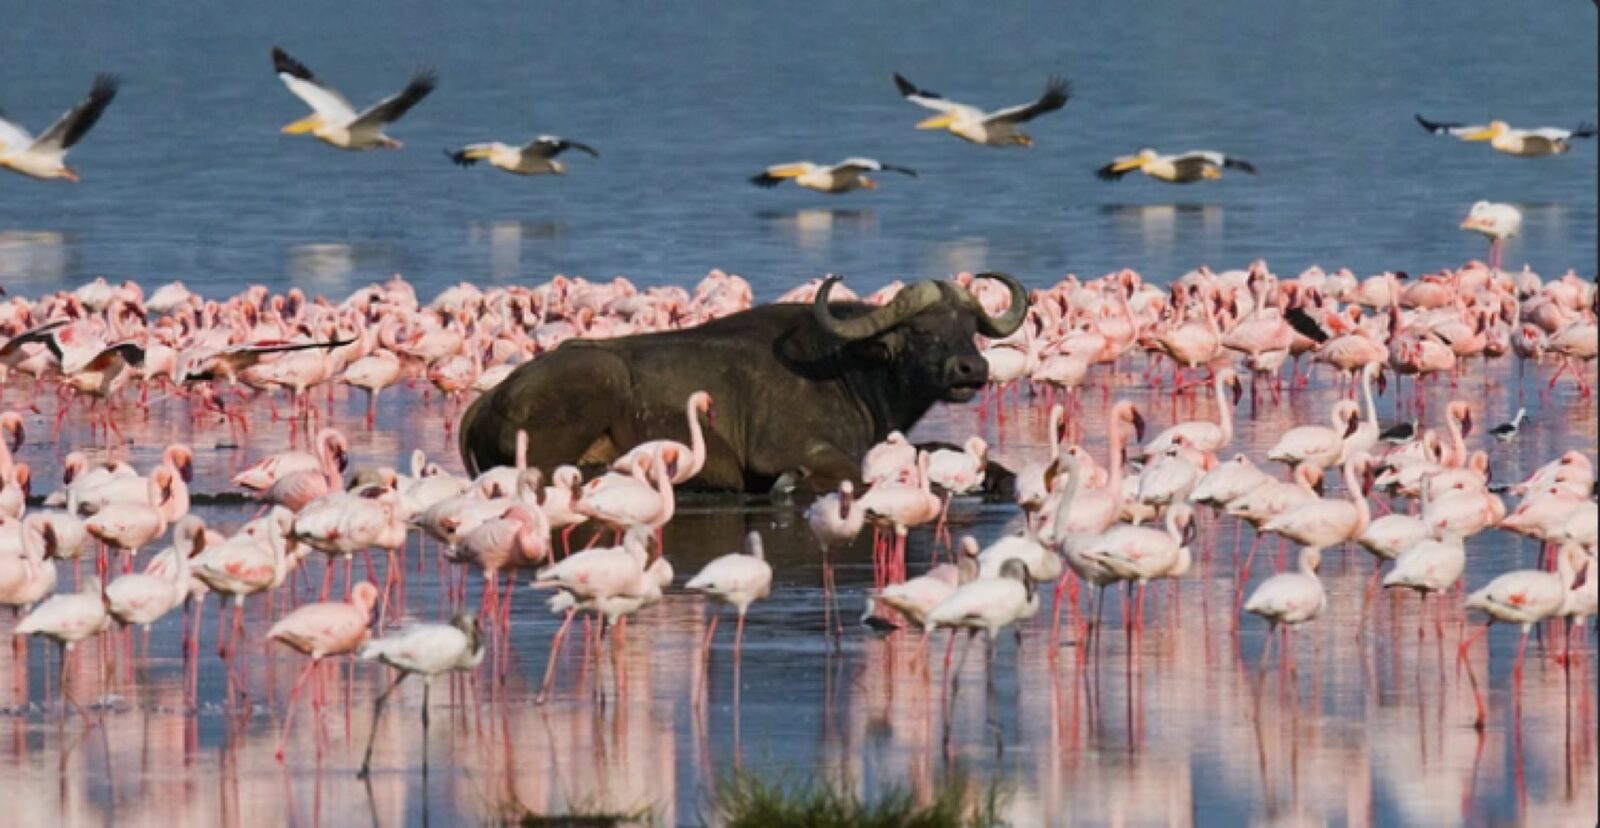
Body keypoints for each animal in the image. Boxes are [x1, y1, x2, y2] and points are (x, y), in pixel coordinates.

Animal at [458, 273, 1027, 493]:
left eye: (969, 328)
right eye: (921, 331)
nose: (972, 370)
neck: (849, 369)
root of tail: (488, 401)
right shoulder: (791, 450)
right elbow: (849, 472)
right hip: (596, 381)